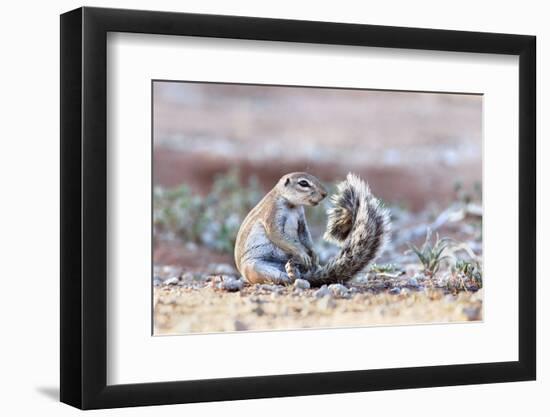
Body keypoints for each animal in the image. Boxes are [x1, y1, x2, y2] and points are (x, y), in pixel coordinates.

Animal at [235, 172, 390, 286]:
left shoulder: (301, 219)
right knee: (280, 278)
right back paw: (291, 274)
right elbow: (277, 234)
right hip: (254, 267)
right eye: (303, 183)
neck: (292, 205)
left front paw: (314, 255)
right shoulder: (272, 214)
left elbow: (305, 236)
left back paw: (297, 271)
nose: (324, 193)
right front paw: (302, 252)